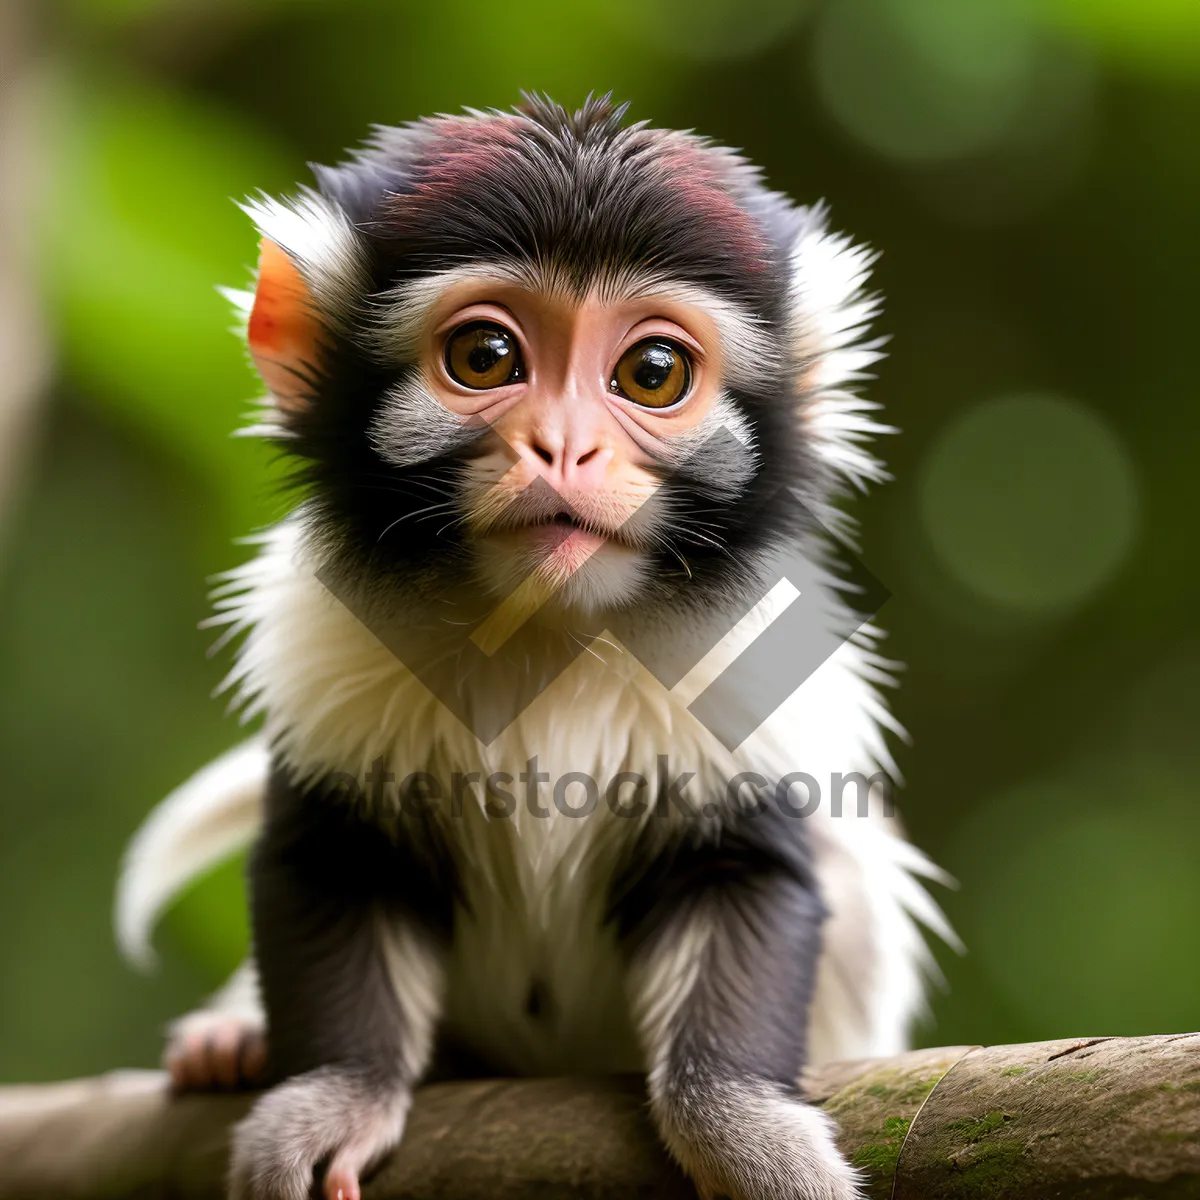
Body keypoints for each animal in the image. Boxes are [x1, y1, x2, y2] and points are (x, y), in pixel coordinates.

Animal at [114, 98, 955, 1200]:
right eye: (486, 357)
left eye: (652, 373)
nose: (563, 446)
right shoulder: (323, 659)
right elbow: (335, 859)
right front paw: (329, 1098)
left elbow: (746, 873)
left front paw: (746, 1131)